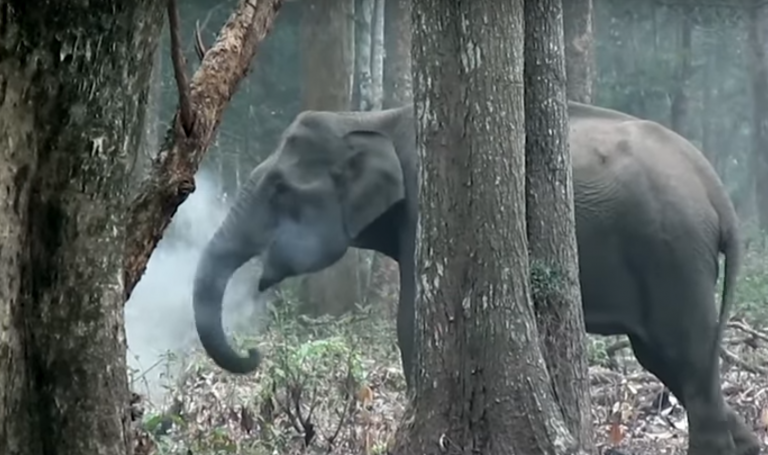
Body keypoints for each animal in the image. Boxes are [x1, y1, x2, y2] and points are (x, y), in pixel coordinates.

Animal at [192, 102, 759, 455]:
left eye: (279, 191)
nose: (253, 352)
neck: (373, 118)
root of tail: (720, 197)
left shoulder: (426, 209)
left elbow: (411, 325)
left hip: (672, 255)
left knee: (683, 359)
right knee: (671, 362)